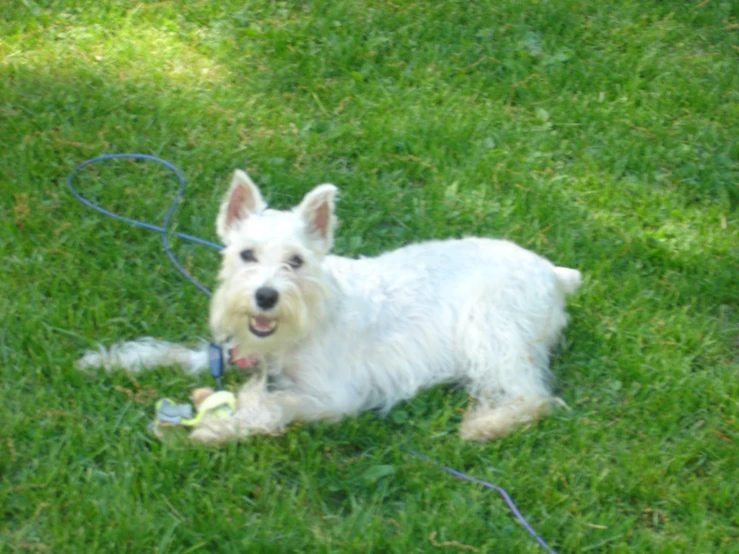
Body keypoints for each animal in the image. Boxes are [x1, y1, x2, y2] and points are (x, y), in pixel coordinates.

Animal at [78, 170, 580, 442]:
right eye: (246, 254)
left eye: (296, 261)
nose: (265, 296)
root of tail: (553, 272)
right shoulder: (233, 350)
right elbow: (178, 354)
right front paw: (108, 360)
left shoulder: (335, 398)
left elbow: (276, 406)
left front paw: (218, 427)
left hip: (493, 332)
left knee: (533, 396)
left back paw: (484, 425)